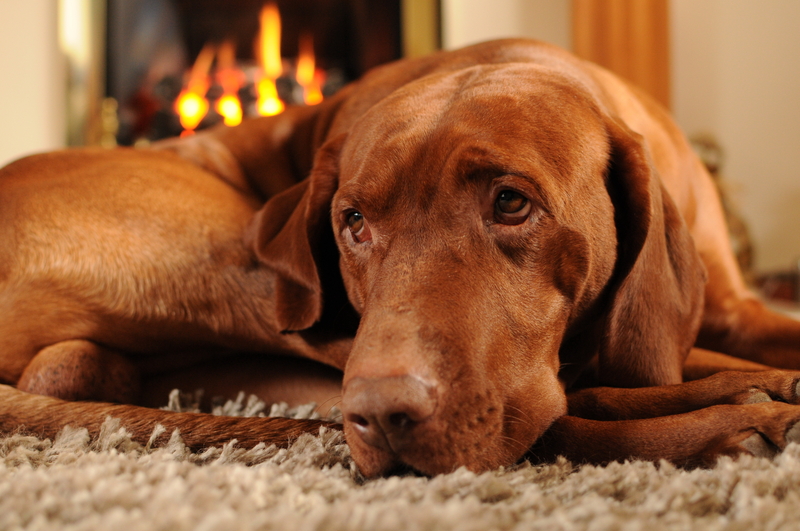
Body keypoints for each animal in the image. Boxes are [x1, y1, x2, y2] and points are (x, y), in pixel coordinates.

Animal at [1, 39, 800, 476]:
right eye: (353, 221)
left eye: (512, 203)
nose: (383, 416)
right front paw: (742, 393)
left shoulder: (736, 308)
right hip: (251, 274)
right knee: (561, 412)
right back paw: (741, 414)